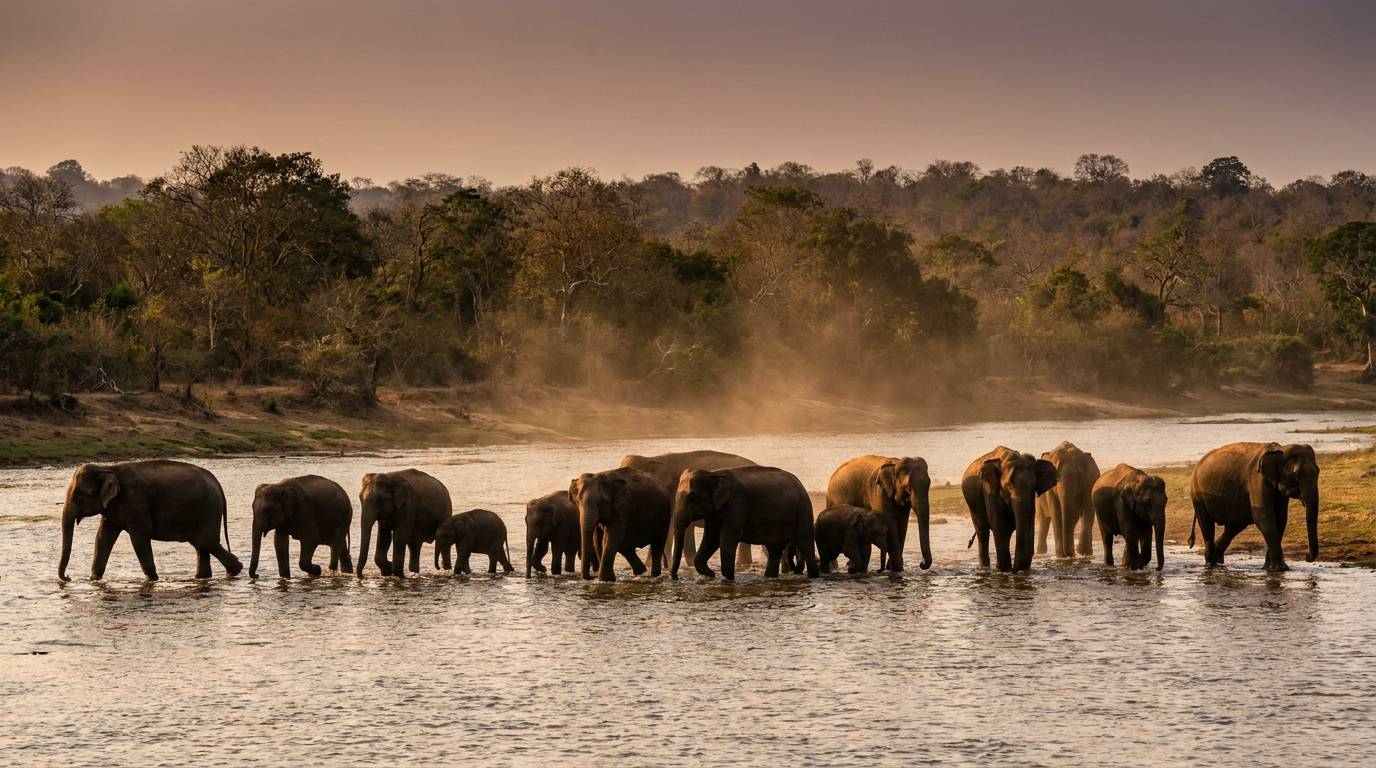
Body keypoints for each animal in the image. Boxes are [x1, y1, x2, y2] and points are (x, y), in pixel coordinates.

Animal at [58, 460, 241, 581]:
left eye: (79, 495)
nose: (68, 577)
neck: (107, 468)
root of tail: (217, 483)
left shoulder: (136, 502)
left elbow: (139, 540)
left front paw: (152, 579)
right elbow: (102, 539)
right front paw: (94, 580)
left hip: (208, 509)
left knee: (206, 542)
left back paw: (235, 571)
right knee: (201, 546)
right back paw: (203, 577)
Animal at [671, 466, 820, 581]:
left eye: (692, 498)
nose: (677, 578)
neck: (712, 473)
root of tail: (800, 483)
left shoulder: (736, 505)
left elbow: (727, 540)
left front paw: (728, 579)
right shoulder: (714, 513)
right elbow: (711, 539)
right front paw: (711, 574)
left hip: (803, 511)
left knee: (805, 545)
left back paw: (813, 577)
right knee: (774, 550)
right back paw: (769, 578)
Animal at [1189, 442, 1319, 571]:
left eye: (1318, 471)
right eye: (1297, 474)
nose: (1306, 556)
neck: (1280, 449)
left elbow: (1280, 519)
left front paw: (1269, 568)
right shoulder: (1257, 479)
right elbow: (1264, 517)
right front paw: (1280, 568)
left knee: (1235, 527)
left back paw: (1218, 561)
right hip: (1197, 495)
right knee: (1207, 524)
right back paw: (1210, 565)